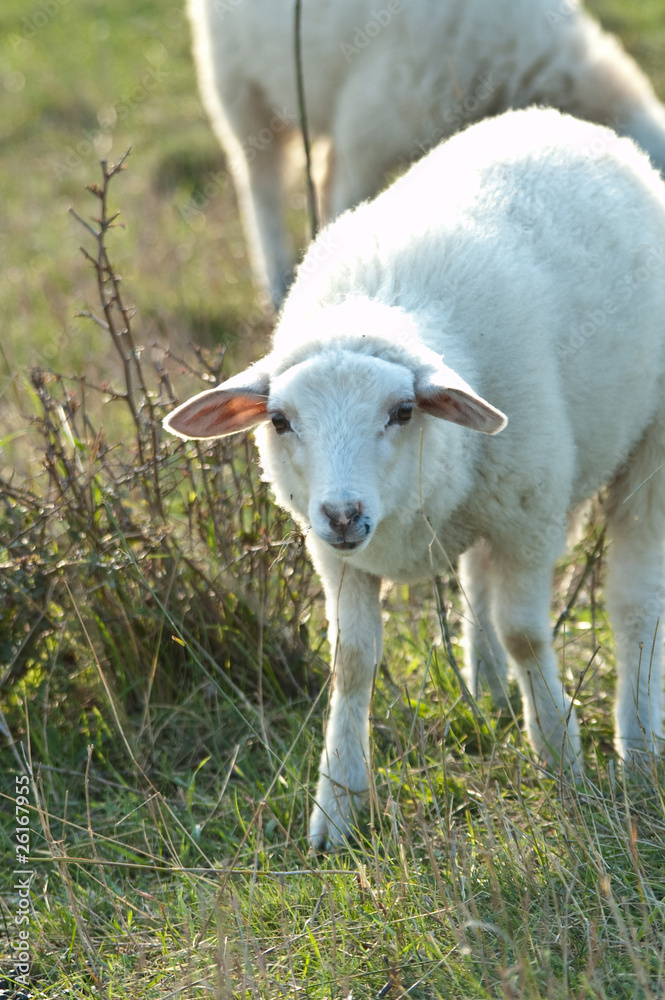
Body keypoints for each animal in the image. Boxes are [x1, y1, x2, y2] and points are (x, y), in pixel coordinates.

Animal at [165, 108, 665, 849]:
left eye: (402, 411)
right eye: (280, 420)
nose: (344, 513)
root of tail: (560, 119)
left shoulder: (528, 515)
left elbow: (526, 633)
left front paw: (559, 755)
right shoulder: (335, 556)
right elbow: (350, 660)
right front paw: (336, 806)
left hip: (647, 445)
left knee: (632, 599)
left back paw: (638, 744)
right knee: (476, 580)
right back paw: (486, 689)